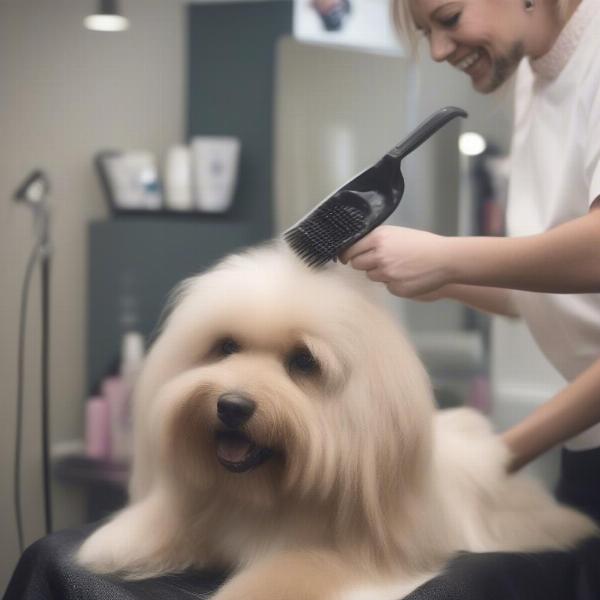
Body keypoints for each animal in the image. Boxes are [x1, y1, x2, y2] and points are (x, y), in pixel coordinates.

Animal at [77, 243, 596, 600]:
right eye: (225, 347)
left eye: (304, 362)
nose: (232, 405)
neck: (261, 495)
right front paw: (119, 543)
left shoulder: (338, 554)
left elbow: (280, 578)